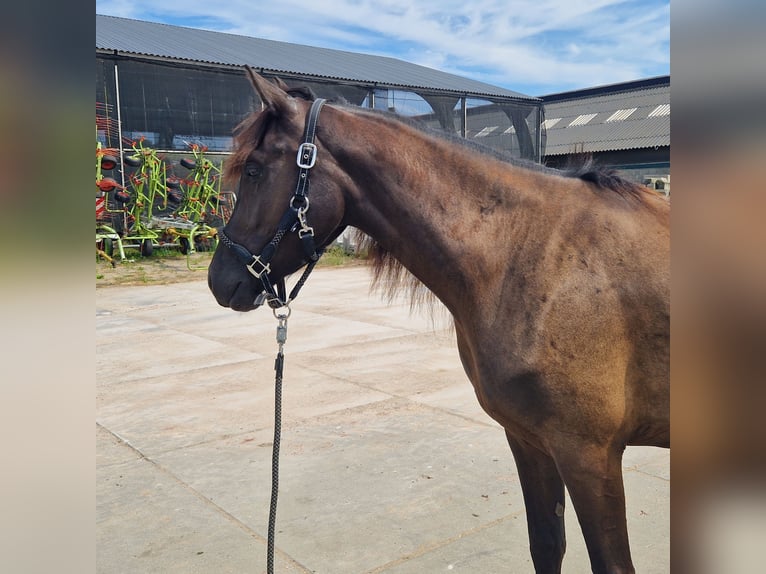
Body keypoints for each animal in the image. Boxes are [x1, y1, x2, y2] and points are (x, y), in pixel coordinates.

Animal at [207, 71, 668, 574]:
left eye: (254, 171)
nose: (219, 280)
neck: (539, 254)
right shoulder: (529, 441)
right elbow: (546, 545)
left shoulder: (588, 455)